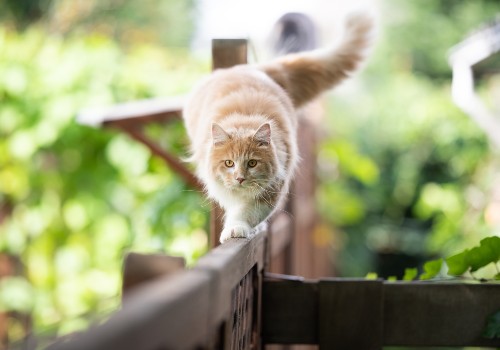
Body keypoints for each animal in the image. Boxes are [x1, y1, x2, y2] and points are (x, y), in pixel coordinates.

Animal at [182, 13, 374, 243]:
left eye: (252, 163)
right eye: (229, 163)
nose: (240, 178)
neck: (244, 121)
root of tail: (252, 69)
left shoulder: (271, 191)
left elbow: (246, 214)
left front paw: (237, 229)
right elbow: (235, 208)